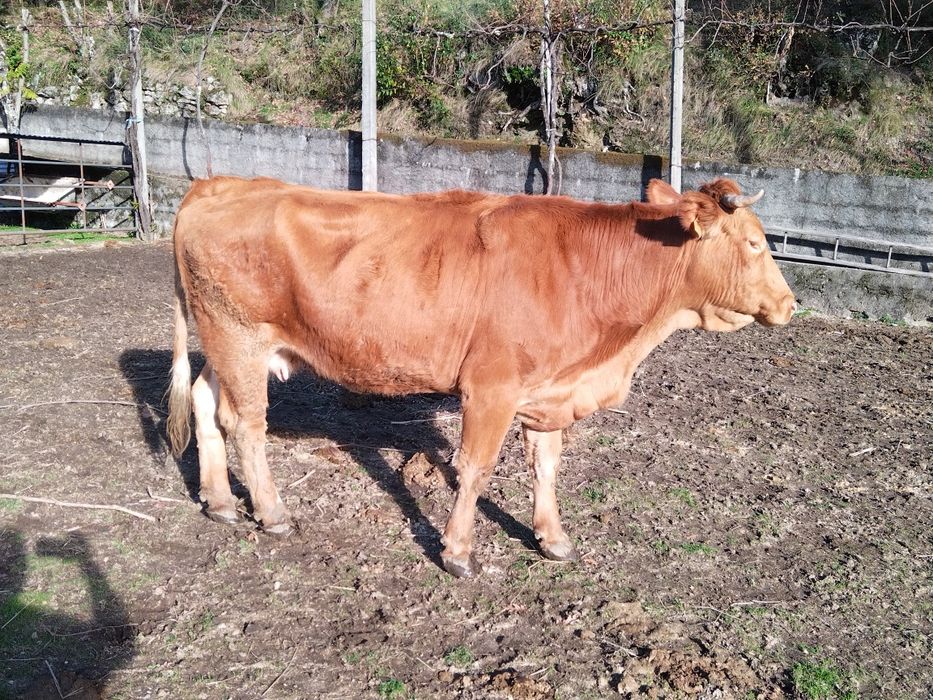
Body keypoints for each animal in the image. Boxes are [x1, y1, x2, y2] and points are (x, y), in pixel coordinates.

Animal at [167, 176, 796, 578]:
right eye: (755, 243)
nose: (791, 305)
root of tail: (218, 184)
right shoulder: (490, 389)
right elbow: (474, 469)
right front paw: (458, 551)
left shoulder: (548, 391)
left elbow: (545, 466)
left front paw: (552, 537)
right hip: (239, 336)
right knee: (246, 423)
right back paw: (272, 513)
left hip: (226, 345)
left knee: (203, 401)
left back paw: (219, 501)